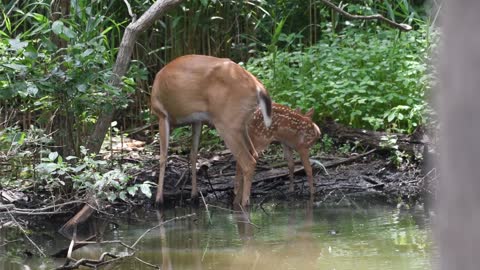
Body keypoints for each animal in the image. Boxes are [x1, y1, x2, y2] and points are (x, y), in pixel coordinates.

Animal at [151, 54, 270, 207]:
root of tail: (258, 86)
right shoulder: (197, 120)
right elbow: (193, 154)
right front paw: (194, 196)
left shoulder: (162, 115)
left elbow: (163, 157)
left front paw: (158, 200)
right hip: (241, 123)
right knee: (252, 154)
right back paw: (235, 201)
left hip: (227, 123)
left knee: (248, 162)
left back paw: (244, 204)